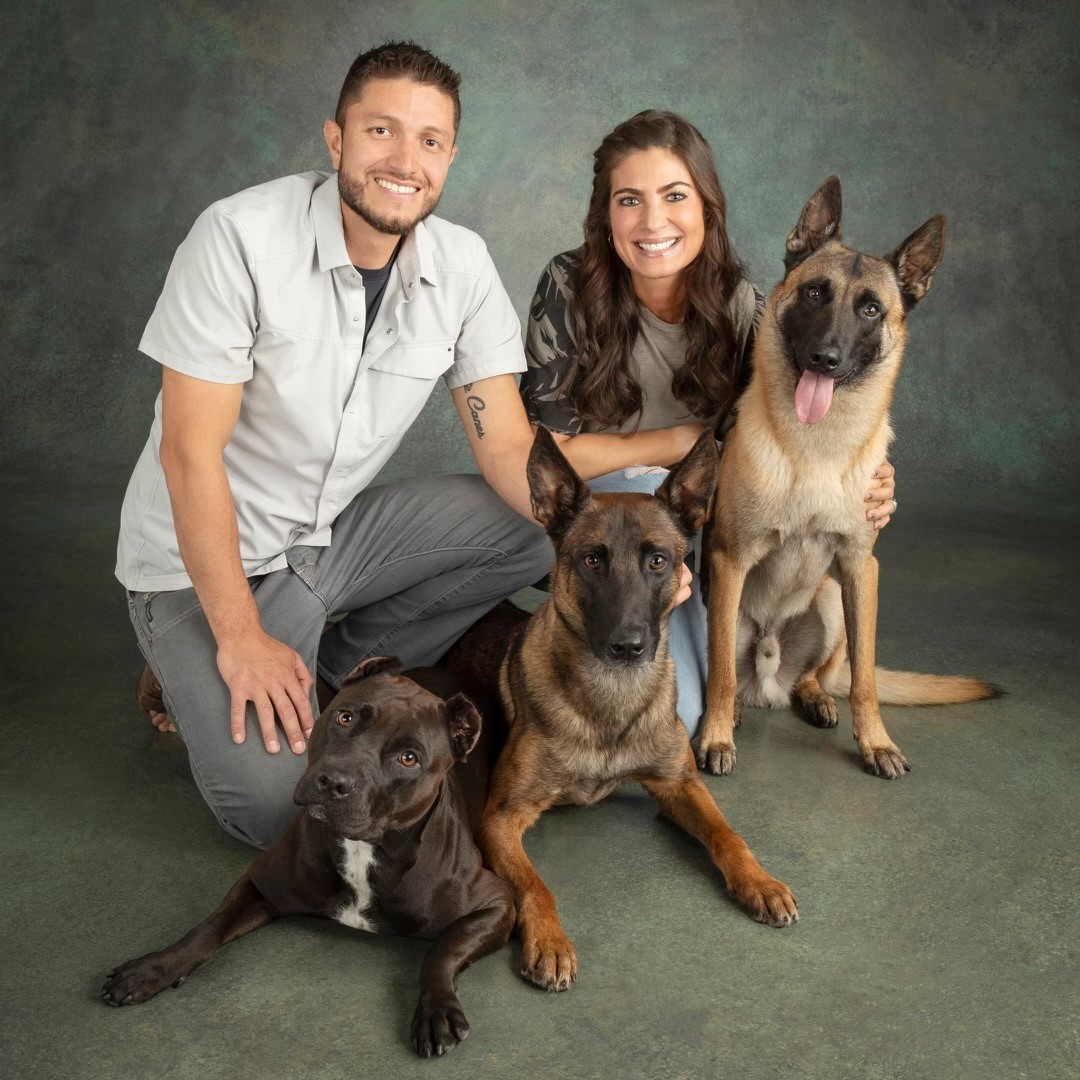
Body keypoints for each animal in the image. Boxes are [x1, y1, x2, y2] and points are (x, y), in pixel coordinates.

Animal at [103, 652, 516, 1058]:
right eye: (345, 717)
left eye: (409, 758)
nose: (334, 782)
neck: (363, 850)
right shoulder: (260, 882)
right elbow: (209, 927)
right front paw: (156, 968)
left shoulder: (498, 905)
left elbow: (444, 949)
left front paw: (437, 1008)